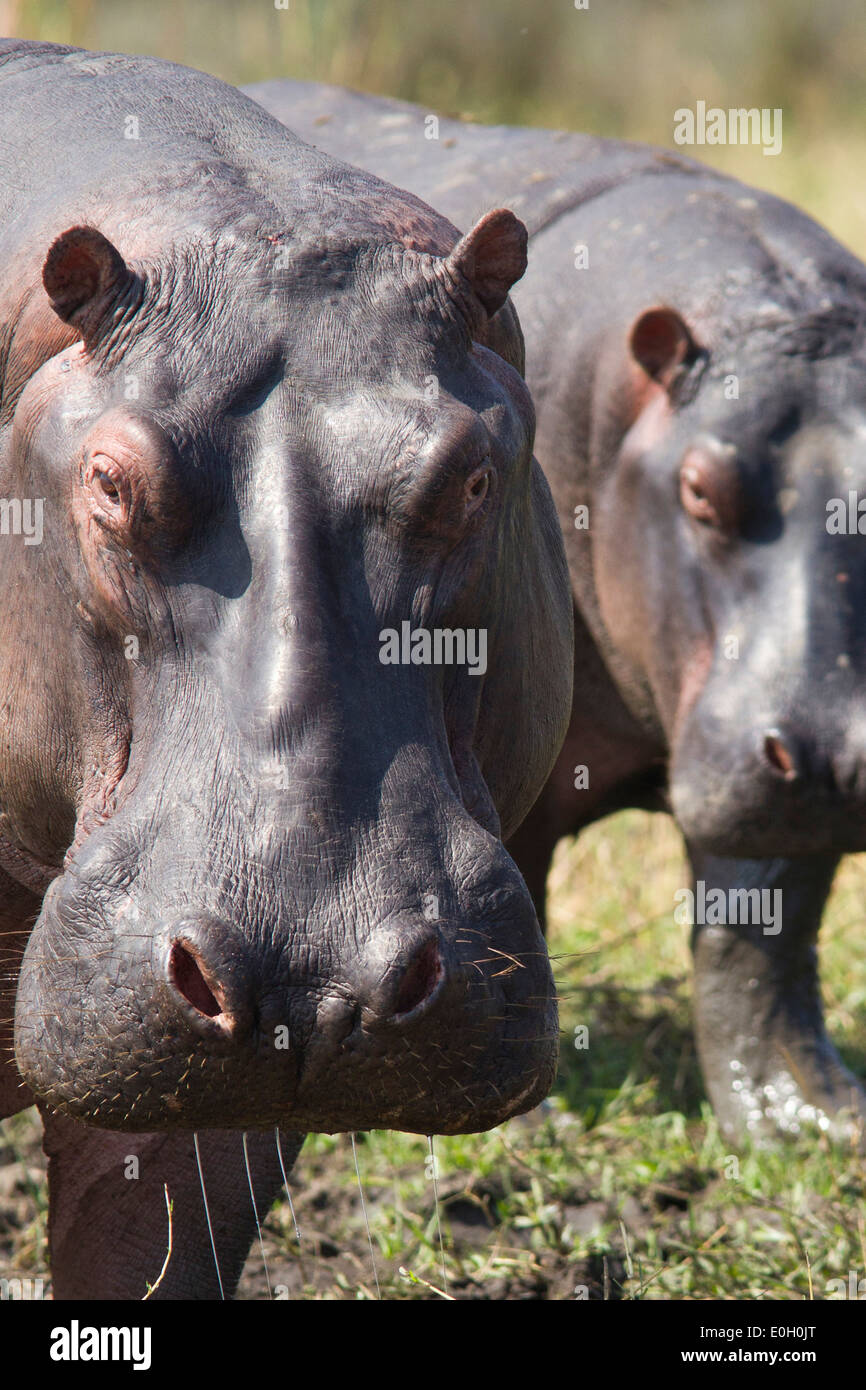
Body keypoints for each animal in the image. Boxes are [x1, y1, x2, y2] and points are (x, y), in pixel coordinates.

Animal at [247, 73, 866, 1139]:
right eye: (698, 489)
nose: (829, 752)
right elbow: (511, 892)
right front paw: (524, 1120)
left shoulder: (766, 756)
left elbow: (764, 934)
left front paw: (811, 1121)